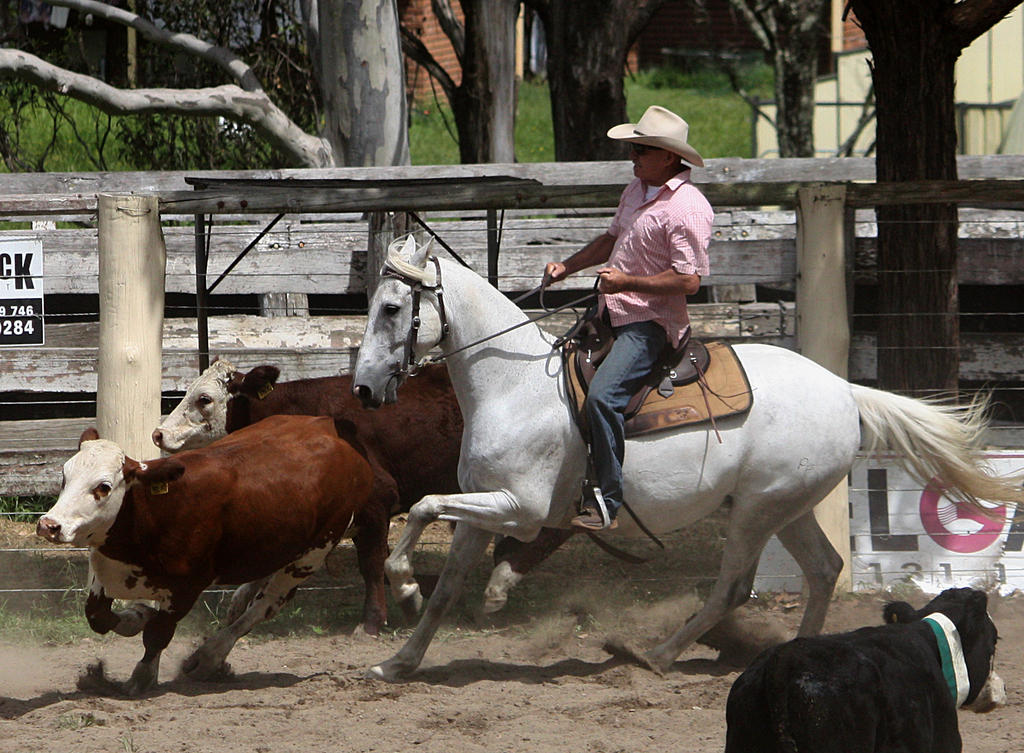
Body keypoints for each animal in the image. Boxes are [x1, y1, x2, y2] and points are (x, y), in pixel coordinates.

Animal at [37, 415, 372, 696]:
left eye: (104, 487)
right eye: (64, 476)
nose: (49, 525)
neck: (150, 512)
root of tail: (328, 427)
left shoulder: (187, 588)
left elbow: (158, 633)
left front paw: (141, 677)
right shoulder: (105, 575)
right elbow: (99, 617)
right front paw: (138, 616)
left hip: (311, 554)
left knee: (266, 605)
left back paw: (209, 657)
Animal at [354, 236, 1024, 684]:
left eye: (392, 308)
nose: (362, 388)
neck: (514, 388)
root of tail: (843, 389)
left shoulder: (519, 509)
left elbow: (423, 507)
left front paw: (405, 585)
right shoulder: (483, 508)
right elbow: (446, 582)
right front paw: (399, 659)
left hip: (756, 512)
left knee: (734, 588)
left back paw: (657, 656)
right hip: (788, 507)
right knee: (824, 569)